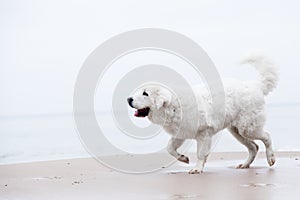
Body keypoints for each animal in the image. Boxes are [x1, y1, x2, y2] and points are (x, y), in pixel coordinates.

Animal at [127, 53, 278, 173]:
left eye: (145, 93)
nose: (129, 99)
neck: (174, 106)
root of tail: (255, 85)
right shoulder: (180, 134)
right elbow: (169, 148)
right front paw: (183, 158)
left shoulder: (204, 134)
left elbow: (200, 154)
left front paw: (197, 168)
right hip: (237, 131)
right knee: (254, 147)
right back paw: (245, 165)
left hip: (248, 128)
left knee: (266, 137)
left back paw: (270, 158)